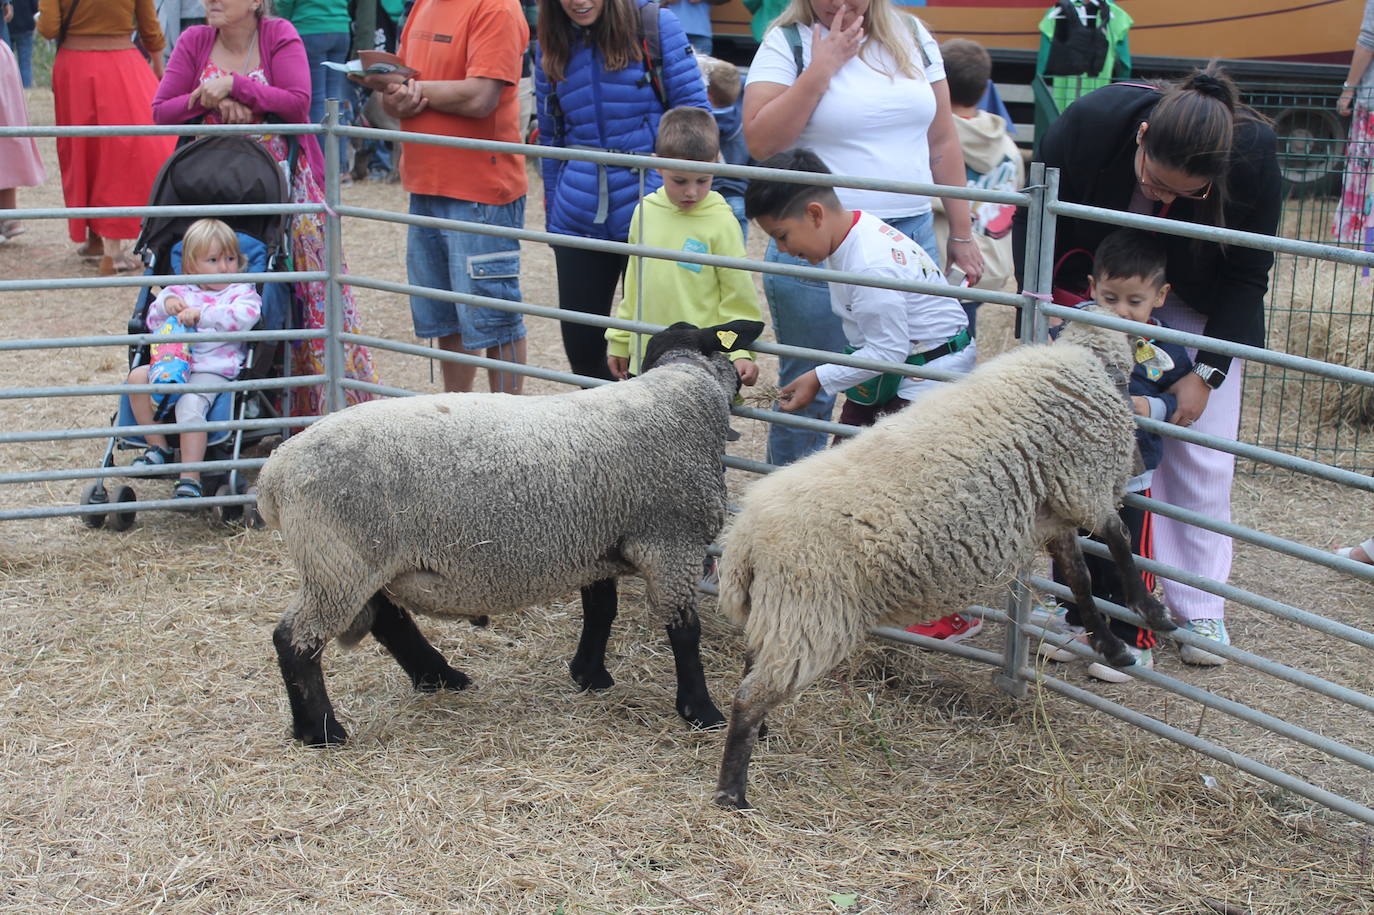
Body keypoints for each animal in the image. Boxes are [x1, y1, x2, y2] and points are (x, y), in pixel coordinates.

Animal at [259, 317, 763, 747]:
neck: (683, 394)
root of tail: (274, 473)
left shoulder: (597, 540)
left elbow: (601, 610)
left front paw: (589, 675)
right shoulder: (671, 544)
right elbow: (684, 632)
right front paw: (701, 711)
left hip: (357, 562)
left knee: (386, 619)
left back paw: (439, 677)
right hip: (338, 561)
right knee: (295, 639)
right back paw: (321, 730)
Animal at [714, 313, 1176, 807]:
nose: (1140, 464)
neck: (1083, 365)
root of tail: (744, 540)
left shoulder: (1054, 510)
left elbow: (1080, 580)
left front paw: (1110, 646)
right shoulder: (1083, 486)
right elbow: (1121, 542)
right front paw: (1153, 613)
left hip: (782, 612)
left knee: (753, 667)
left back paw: (761, 738)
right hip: (813, 615)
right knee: (751, 694)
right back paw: (732, 793)